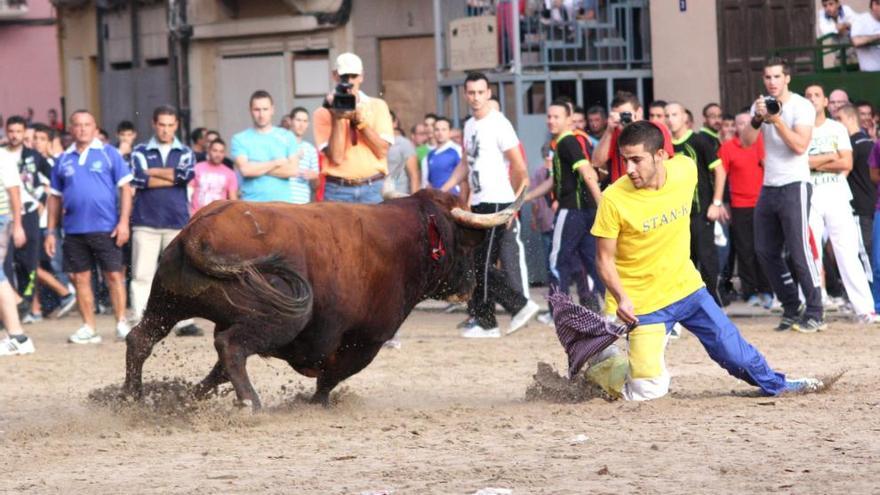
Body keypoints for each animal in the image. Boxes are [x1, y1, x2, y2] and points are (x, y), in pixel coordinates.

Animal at [123, 188, 524, 408]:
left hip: (167, 302)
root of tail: (200, 231)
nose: (469, 286)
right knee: (230, 346)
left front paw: (191, 397)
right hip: (282, 317)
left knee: (141, 339)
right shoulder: (366, 339)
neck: (404, 239)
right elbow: (332, 377)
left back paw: (130, 397)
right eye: (466, 242)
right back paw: (250, 402)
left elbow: (216, 374)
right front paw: (316, 401)